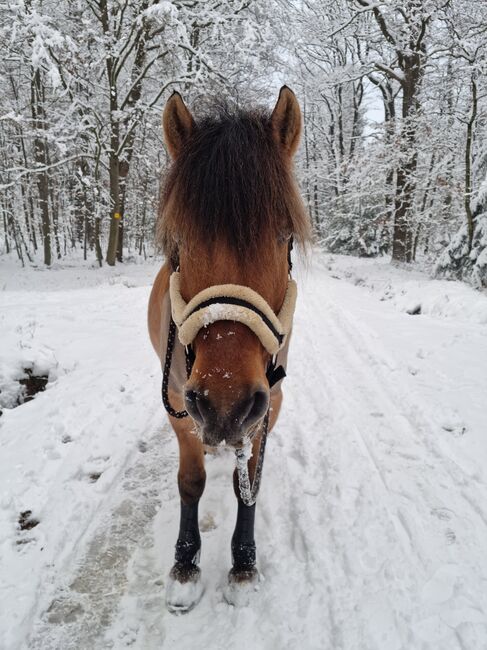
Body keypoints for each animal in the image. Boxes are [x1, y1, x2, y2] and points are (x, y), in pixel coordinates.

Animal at [147, 85, 310, 608]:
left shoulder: (268, 403)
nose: (225, 401)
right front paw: (184, 565)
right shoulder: (179, 403)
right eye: (180, 240)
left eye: (284, 236)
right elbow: (191, 482)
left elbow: (248, 485)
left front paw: (243, 564)